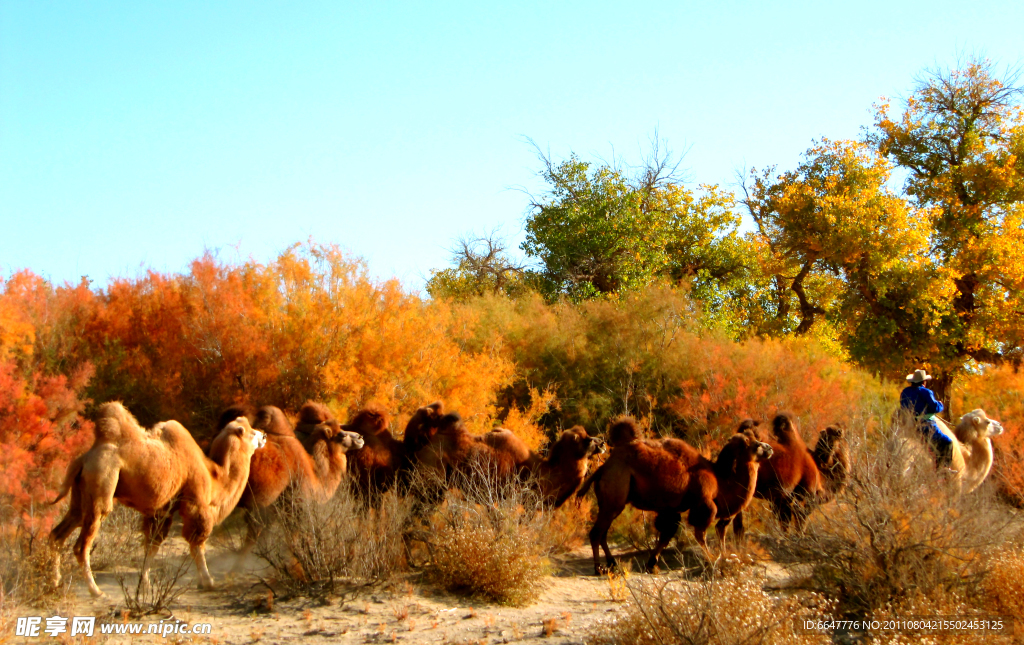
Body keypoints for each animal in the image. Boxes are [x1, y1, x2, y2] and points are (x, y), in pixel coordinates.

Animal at [49, 405, 266, 597]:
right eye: (251, 433)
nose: (263, 435)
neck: (214, 477)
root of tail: (84, 460)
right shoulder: (195, 504)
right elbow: (197, 544)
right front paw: (207, 581)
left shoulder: (162, 510)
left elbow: (151, 546)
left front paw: (145, 584)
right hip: (101, 486)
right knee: (81, 545)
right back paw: (96, 591)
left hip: (80, 497)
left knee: (58, 534)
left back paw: (56, 583)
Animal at [231, 401, 364, 565]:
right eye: (342, 434)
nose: (360, 437)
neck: (316, 478)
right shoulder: (296, 511)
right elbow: (291, 545)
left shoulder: (268, 513)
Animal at [581, 419, 770, 577]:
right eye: (753, 445)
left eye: (757, 439)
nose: (769, 448)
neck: (720, 482)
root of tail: (603, 468)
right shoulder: (704, 504)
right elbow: (700, 533)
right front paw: (711, 560)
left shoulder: (671, 509)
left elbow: (667, 534)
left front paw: (651, 565)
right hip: (614, 498)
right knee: (596, 533)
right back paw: (599, 568)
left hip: (610, 503)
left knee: (603, 533)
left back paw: (612, 563)